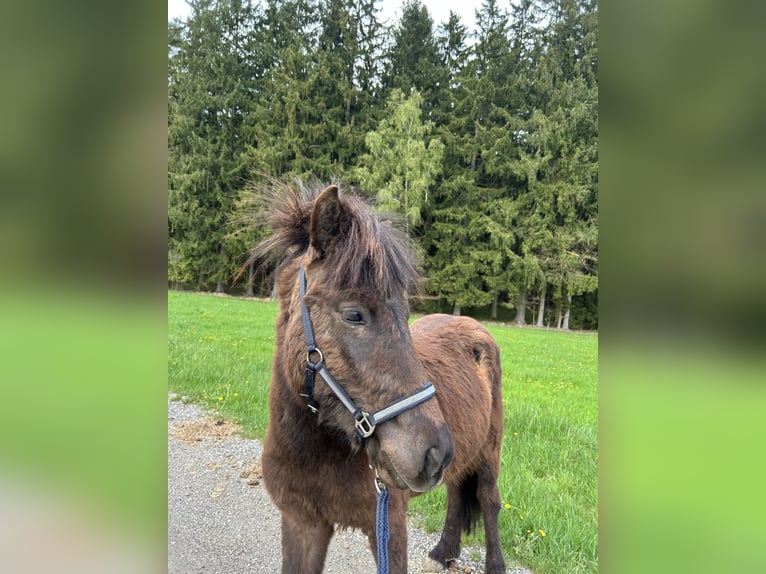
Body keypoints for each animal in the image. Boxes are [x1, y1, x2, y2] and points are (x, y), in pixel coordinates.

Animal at [253, 182, 506, 574]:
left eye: (405, 313)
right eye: (354, 314)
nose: (435, 453)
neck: (315, 454)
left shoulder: (388, 526)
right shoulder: (301, 523)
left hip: (489, 450)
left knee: (488, 498)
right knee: (454, 489)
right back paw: (443, 551)